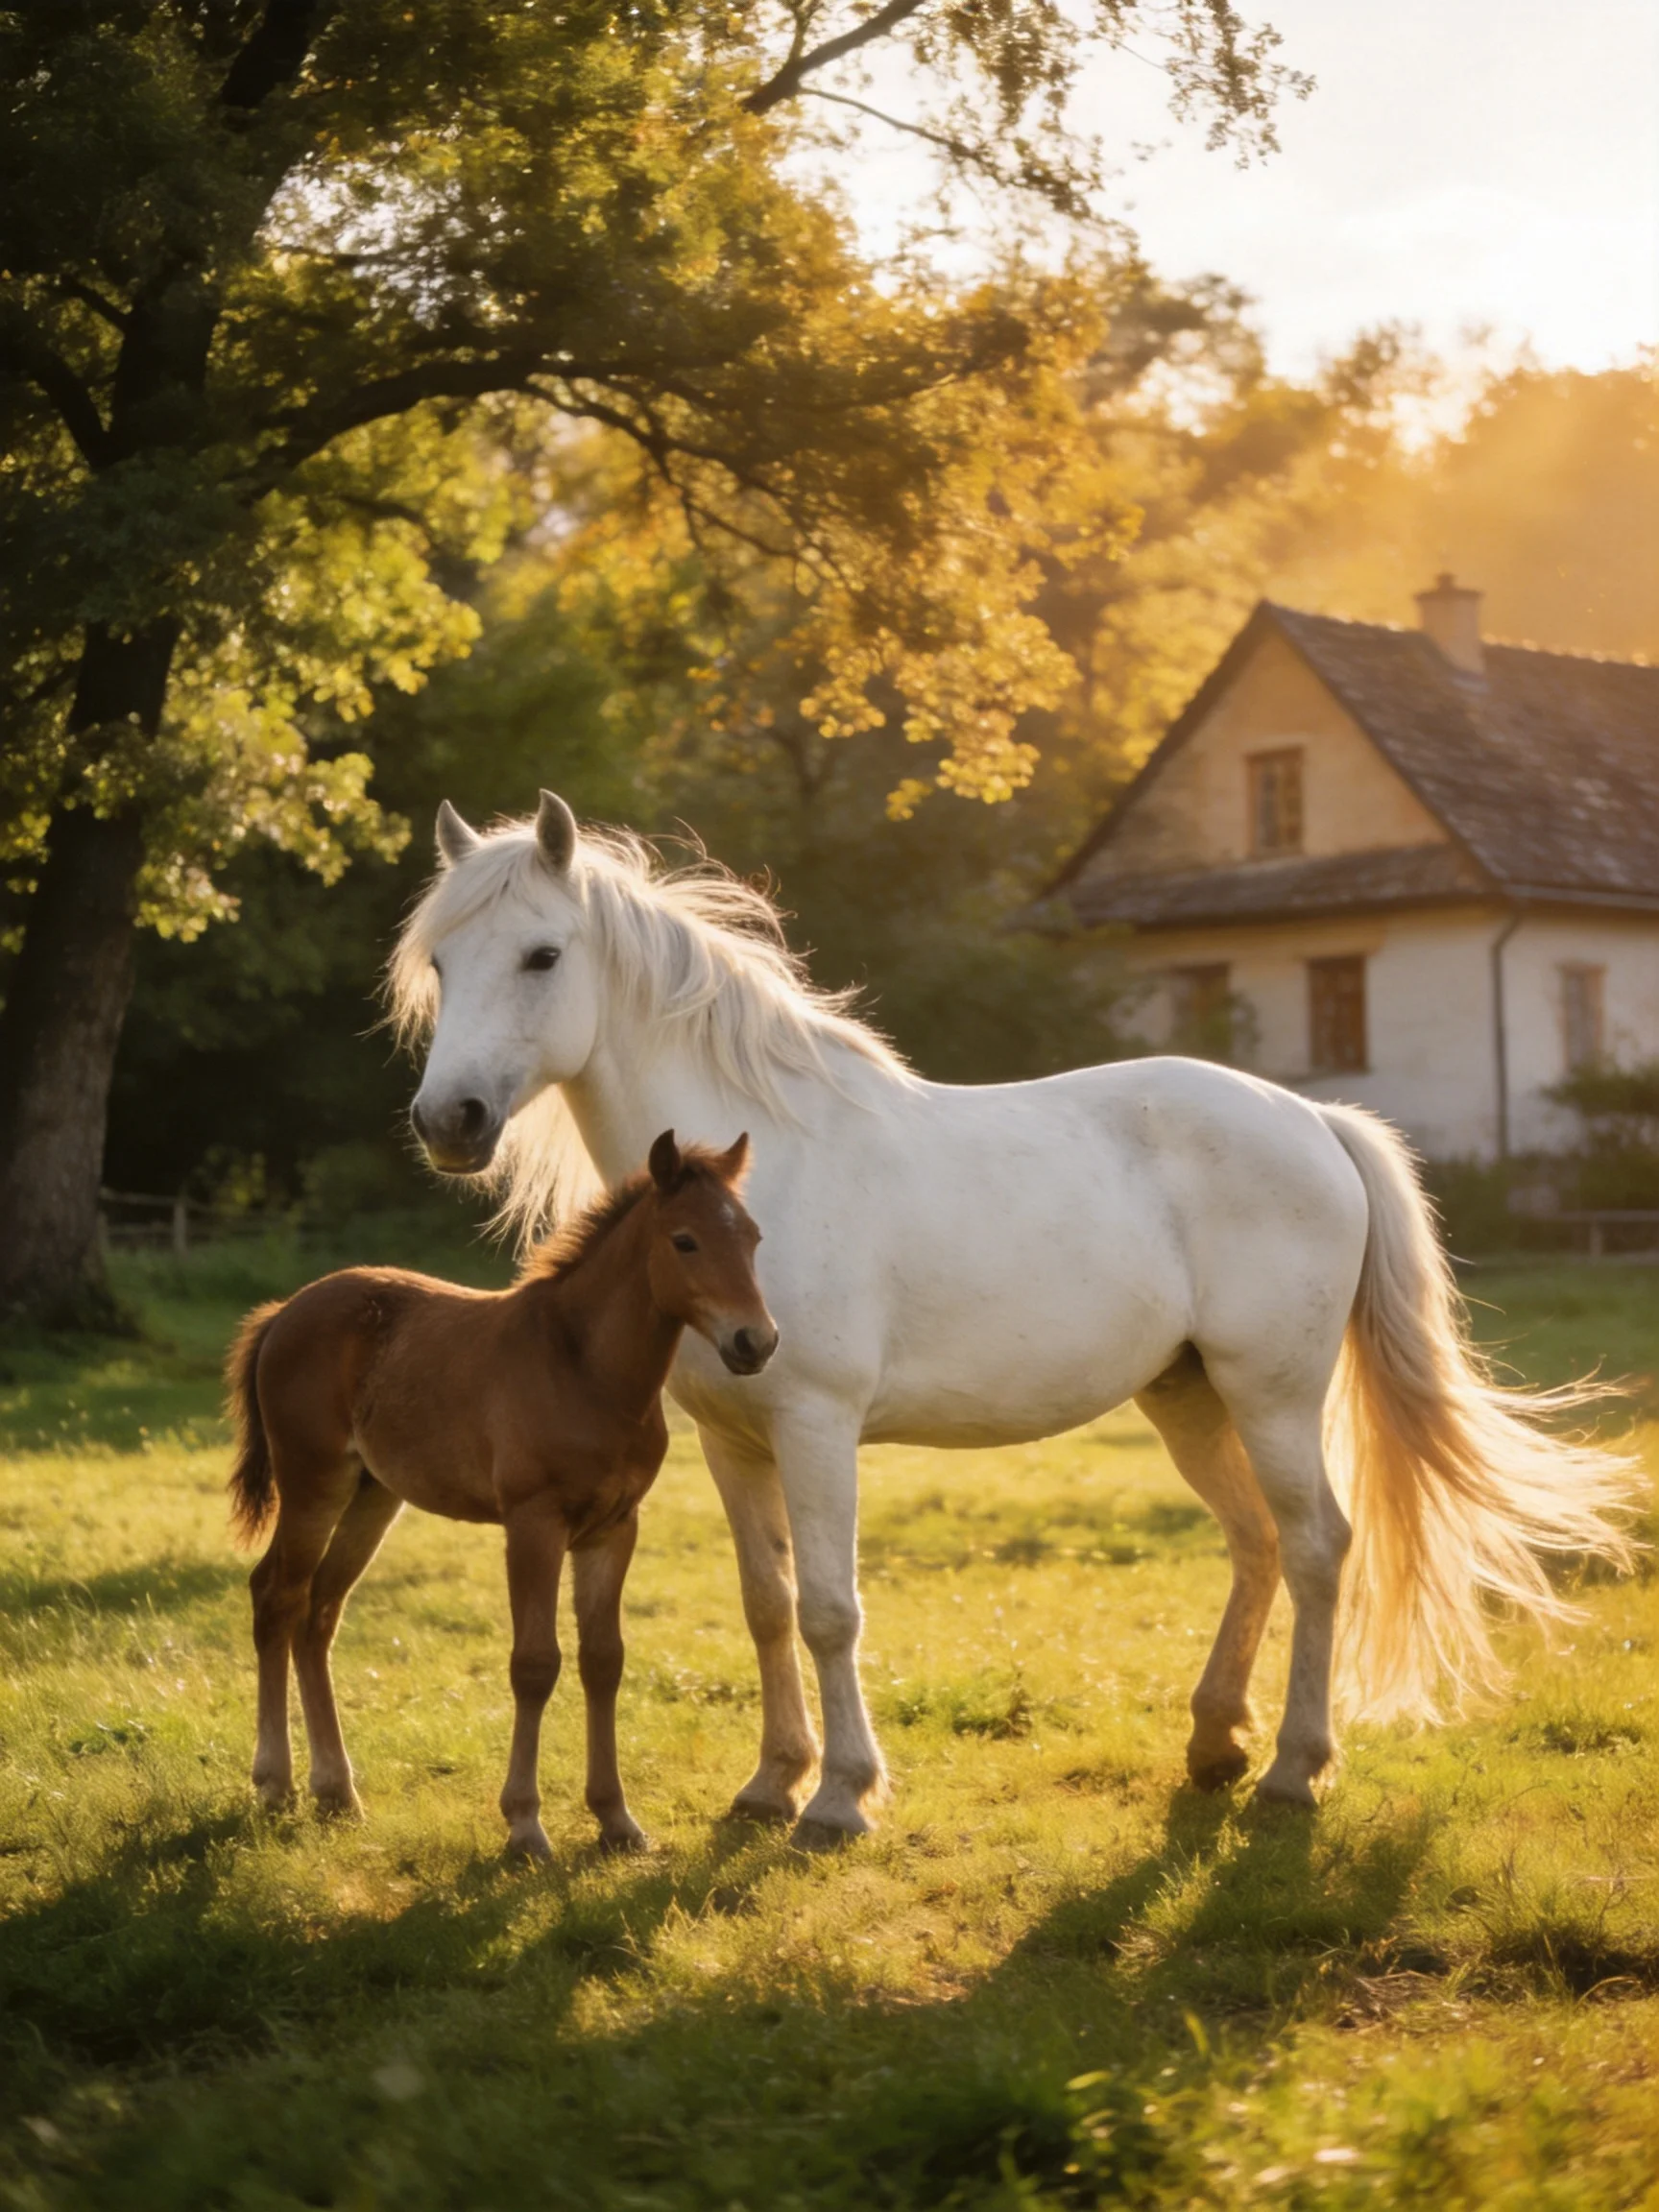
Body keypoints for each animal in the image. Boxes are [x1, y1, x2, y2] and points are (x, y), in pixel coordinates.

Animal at [225, 1129, 776, 1860]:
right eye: (684, 1240)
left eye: (752, 1237)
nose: (756, 1342)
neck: (585, 1369)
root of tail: (284, 1312)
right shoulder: (533, 1523)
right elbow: (535, 1663)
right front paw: (524, 1825)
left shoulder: (615, 1526)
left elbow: (604, 1660)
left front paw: (617, 1819)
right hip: (313, 1483)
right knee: (276, 1597)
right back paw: (275, 1781)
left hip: (373, 1496)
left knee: (319, 1610)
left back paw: (337, 1790)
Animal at [391, 789, 1640, 1848]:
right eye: (443, 961)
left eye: (543, 954)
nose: (449, 1121)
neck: (752, 1182)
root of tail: (1315, 1121)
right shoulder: (733, 1443)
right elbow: (766, 1605)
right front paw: (770, 1784)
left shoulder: (816, 1428)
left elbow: (831, 1609)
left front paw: (840, 1799)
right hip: (1187, 1398)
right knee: (1254, 1542)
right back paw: (1213, 1745)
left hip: (1272, 1395)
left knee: (1319, 1545)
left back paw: (1292, 1770)